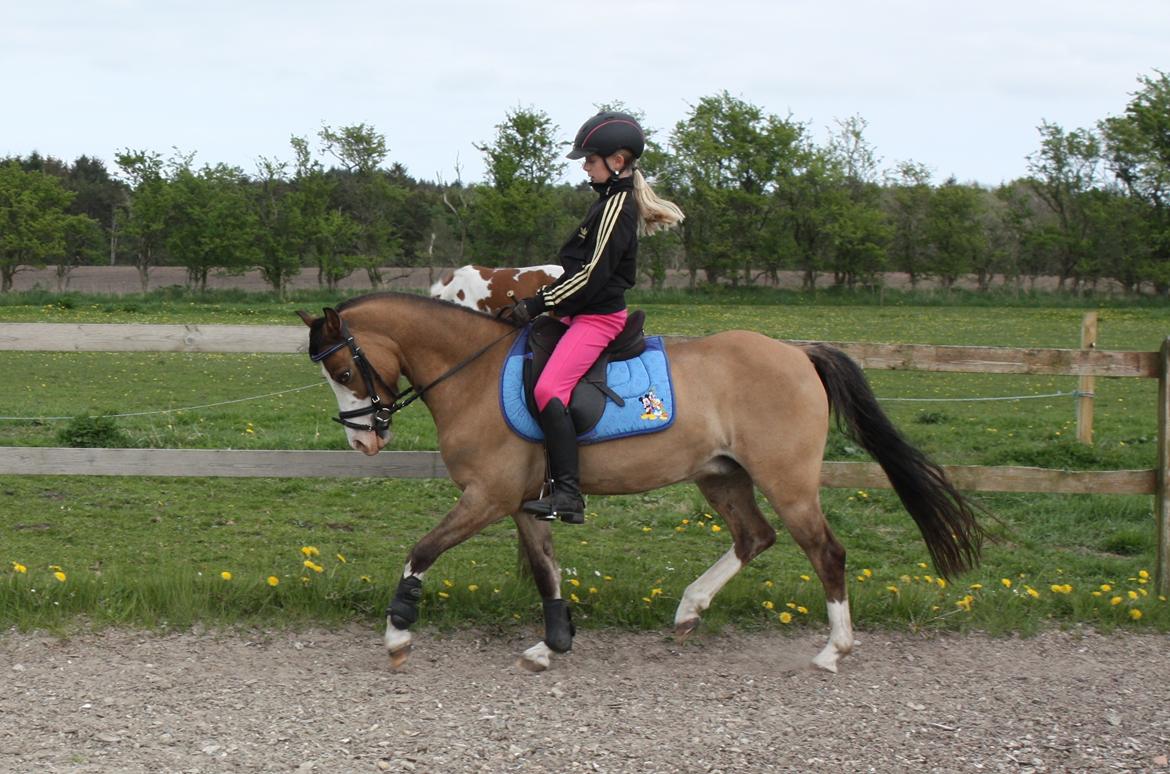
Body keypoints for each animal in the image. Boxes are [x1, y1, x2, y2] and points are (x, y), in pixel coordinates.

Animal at [297, 292, 983, 673]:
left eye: (342, 368)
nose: (362, 441)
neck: (474, 373)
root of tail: (796, 352)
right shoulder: (521, 502)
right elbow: (546, 571)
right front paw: (552, 645)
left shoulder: (488, 497)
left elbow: (422, 551)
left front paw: (397, 634)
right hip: (721, 475)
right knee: (754, 538)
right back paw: (690, 608)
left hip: (786, 480)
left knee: (826, 552)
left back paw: (832, 651)